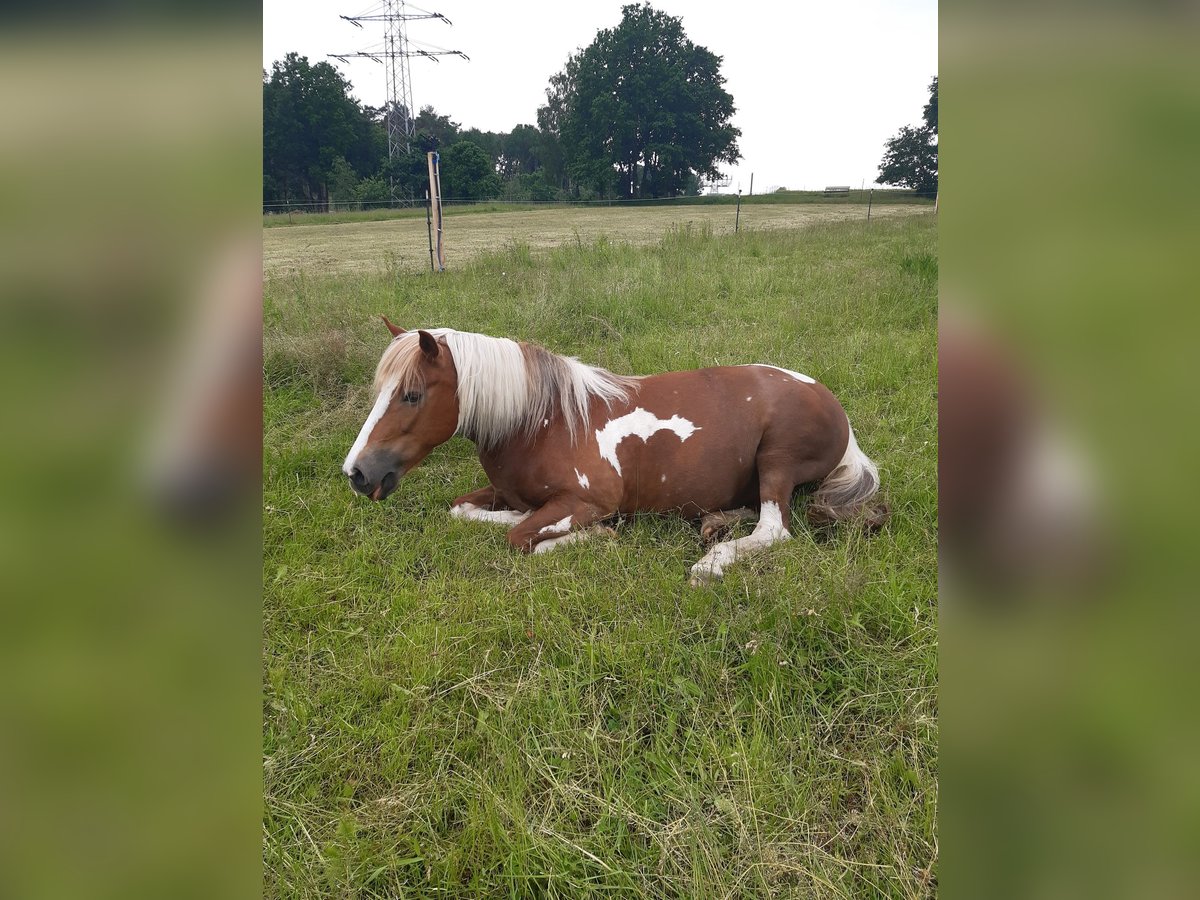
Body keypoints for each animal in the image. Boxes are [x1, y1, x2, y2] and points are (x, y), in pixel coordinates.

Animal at [343, 319, 888, 585]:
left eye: (412, 394)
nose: (356, 472)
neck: (542, 421)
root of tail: (832, 405)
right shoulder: (506, 493)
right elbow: (465, 511)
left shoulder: (587, 500)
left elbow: (523, 538)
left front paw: (595, 536)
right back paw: (716, 523)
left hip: (776, 460)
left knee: (775, 529)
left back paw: (711, 562)